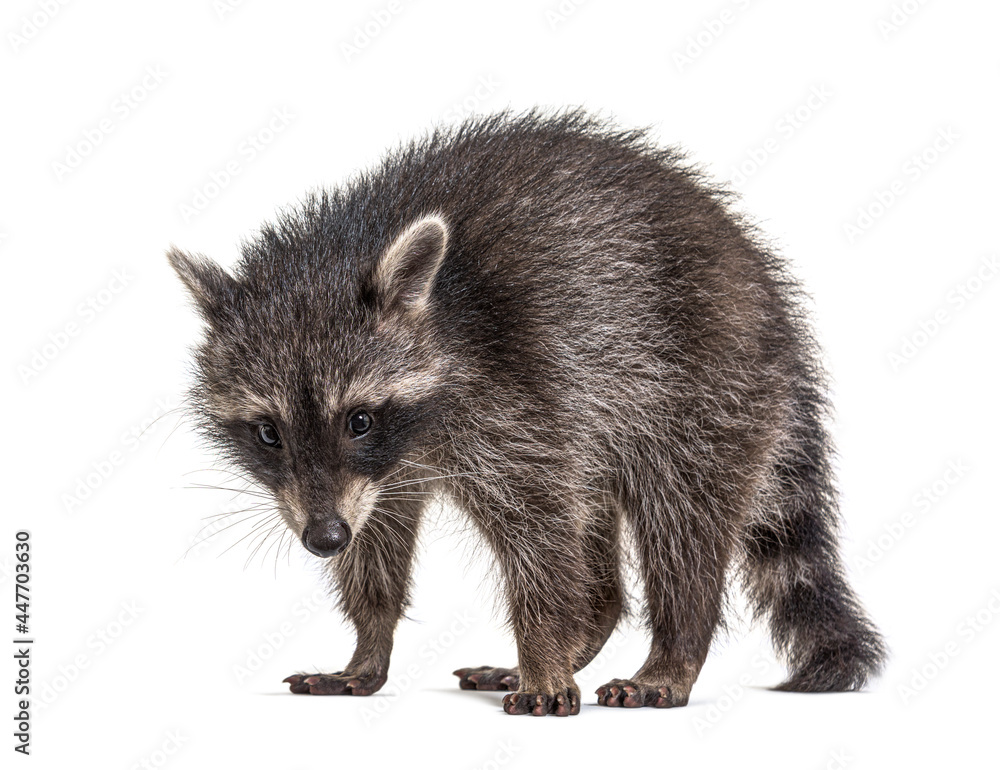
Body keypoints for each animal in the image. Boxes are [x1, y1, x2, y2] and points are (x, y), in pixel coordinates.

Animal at [169, 110, 886, 716]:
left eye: (359, 420)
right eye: (268, 433)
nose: (322, 539)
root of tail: (768, 298)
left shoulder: (510, 393)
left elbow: (538, 533)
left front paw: (543, 648)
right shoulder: (377, 477)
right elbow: (377, 540)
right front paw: (368, 646)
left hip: (702, 384)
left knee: (680, 521)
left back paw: (672, 649)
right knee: (592, 516)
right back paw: (589, 624)